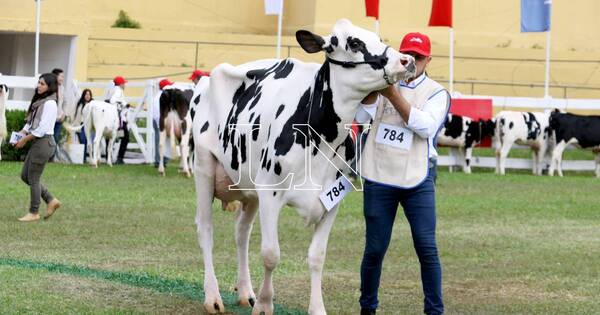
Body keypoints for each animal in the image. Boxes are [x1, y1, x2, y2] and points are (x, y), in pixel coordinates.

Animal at [190, 19, 414, 315]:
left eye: (378, 38)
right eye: (353, 43)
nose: (407, 60)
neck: (319, 134)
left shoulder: (332, 199)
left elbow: (317, 256)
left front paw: (316, 308)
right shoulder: (270, 193)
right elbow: (271, 254)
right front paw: (264, 305)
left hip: (249, 187)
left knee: (242, 232)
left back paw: (246, 292)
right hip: (204, 167)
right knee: (205, 230)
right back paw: (213, 297)